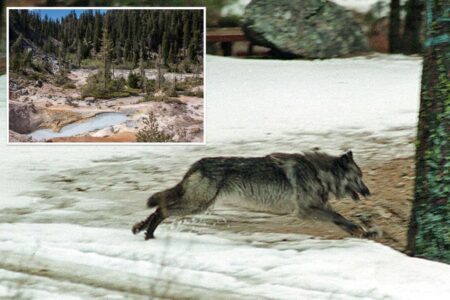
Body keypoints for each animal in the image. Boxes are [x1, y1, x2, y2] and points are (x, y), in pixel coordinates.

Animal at [133, 151, 372, 240]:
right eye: (359, 177)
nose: (368, 192)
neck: (318, 172)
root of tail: (196, 164)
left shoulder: (318, 208)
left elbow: (341, 220)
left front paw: (362, 232)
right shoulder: (306, 211)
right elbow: (339, 216)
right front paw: (360, 229)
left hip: (196, 204)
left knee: (159, 206)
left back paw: (140, 228)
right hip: (196, 206)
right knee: (162, 209)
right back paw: (149, 234)